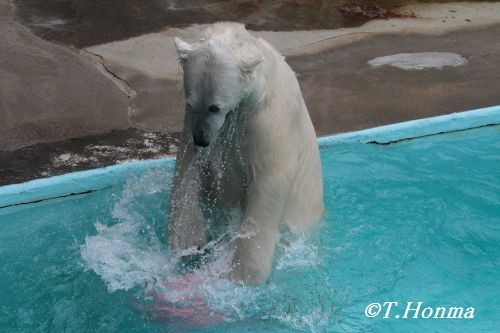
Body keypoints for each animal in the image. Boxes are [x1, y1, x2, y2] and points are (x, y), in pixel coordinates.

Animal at [168, 22, 324, 284]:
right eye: (191, 103)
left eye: (215, 107)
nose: (202, 139)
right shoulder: (191, 124)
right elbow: (187, 169)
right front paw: (187, 241)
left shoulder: (270, 122)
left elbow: (268, 185)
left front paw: (243, 274)